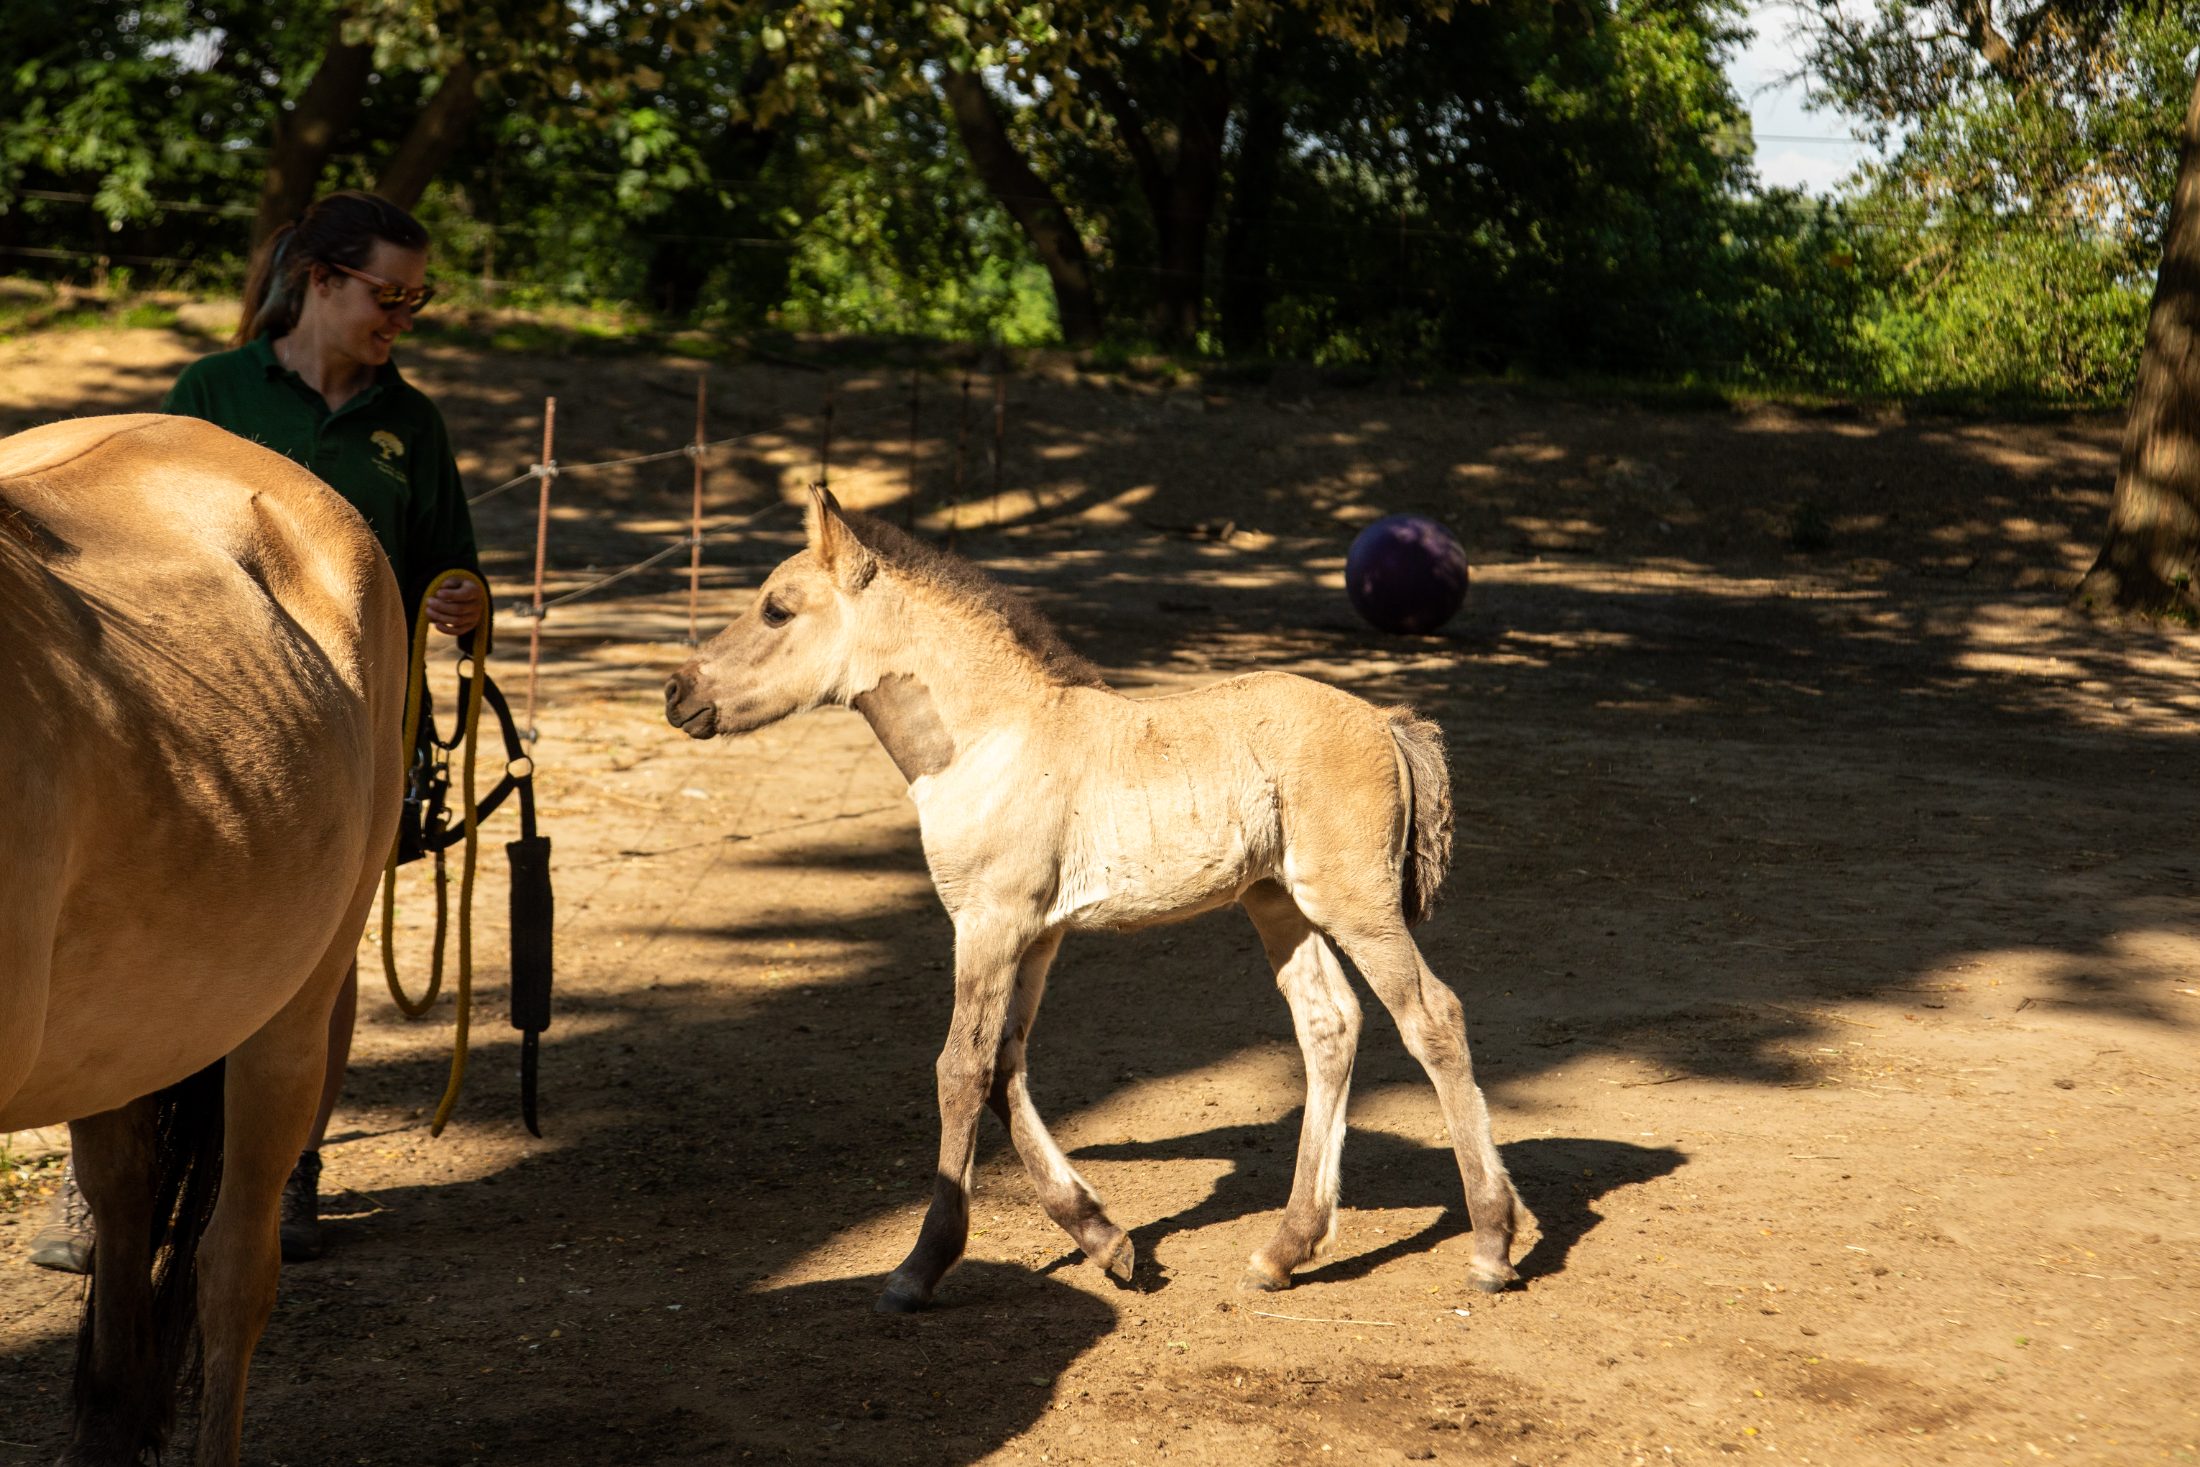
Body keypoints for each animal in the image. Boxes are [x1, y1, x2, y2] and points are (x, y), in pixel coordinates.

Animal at [665, 487, 1533, 1313]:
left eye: (777, 608)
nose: (677, 691)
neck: (994, 738)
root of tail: (1387, 723)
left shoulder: (987, 922)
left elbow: (960, 1069)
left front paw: (919, 1268)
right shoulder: (1034, 934)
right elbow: (1004, 1067)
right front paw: (1107, 1242)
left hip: (1354, 902)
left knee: (1432, 1016)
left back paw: (1493, 1244)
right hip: (1280, 903)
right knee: (1330, 1027)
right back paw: (1285, 1250)